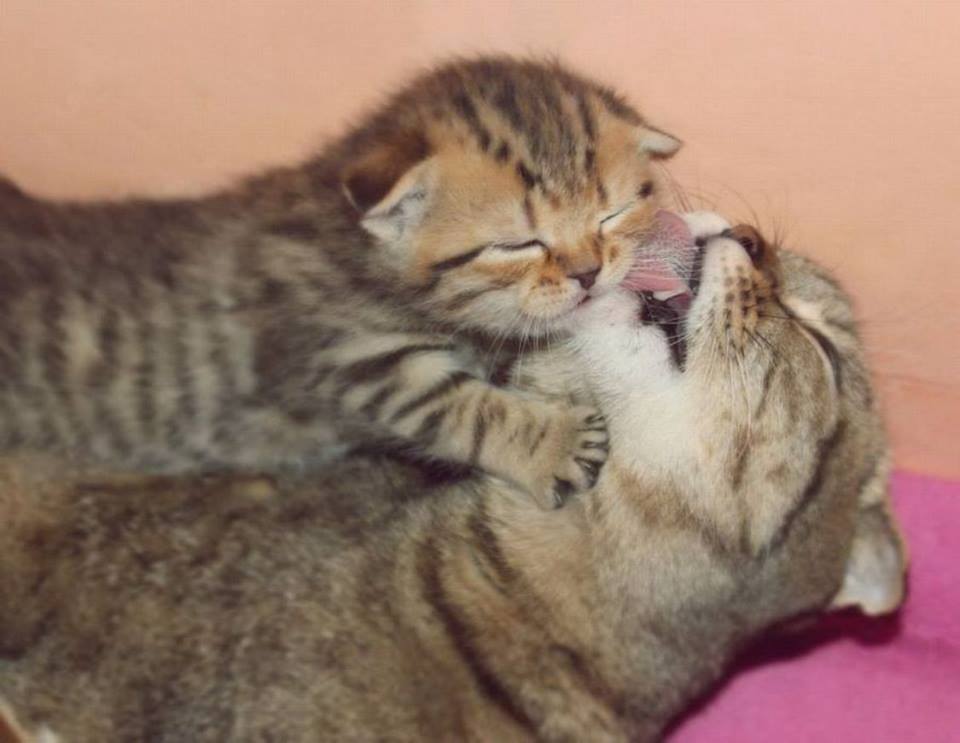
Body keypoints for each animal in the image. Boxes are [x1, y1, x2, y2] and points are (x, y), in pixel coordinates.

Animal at [0, 56, 687, 509]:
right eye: (517, 243)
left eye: (612, 215)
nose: (588, 272)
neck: (356, 249)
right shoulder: (353, 356)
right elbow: (460, 407)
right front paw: (554, 443)